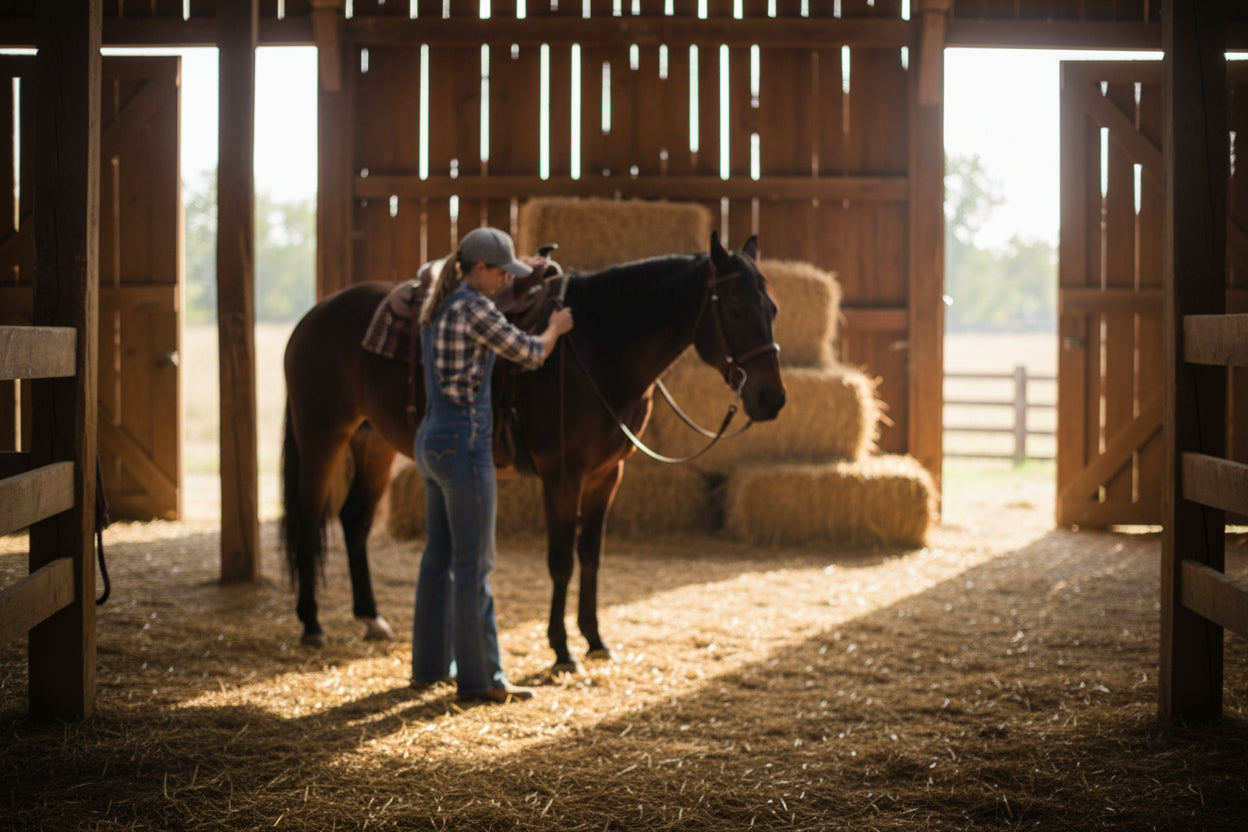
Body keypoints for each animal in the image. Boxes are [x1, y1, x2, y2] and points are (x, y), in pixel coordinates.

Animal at [280, 231, 786, 673]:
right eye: (735, 309)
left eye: (773, 308)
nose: (771, 399)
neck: (597, 347)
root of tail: (314, 315)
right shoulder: (562, 474)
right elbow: (560, 559)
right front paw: (562, 651)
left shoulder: (607, 474)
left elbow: (591, 554)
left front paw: (595, 640)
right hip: (322, 436)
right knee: (308, 517)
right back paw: (312, 624)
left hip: (374, 445)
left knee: (354, 520)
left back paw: (371, 619)